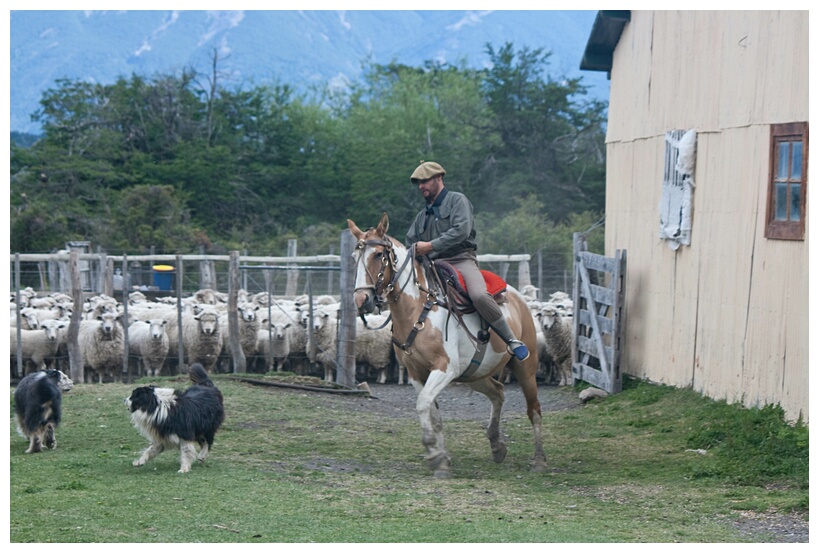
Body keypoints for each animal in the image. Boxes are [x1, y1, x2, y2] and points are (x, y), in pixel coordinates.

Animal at [346, 213, 544, 476]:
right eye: (354, 257)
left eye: (378, 255)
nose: (362, 300)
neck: (419, 307)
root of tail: (518, 297)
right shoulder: (416, 373)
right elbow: (432, 413)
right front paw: (441, 458)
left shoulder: (444, 368)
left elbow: (422, 404)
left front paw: (432, 452)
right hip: (477, 373)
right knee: (498, 393)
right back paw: (496, 445)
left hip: (526, 369)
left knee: (534, 409)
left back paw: (539, 460)